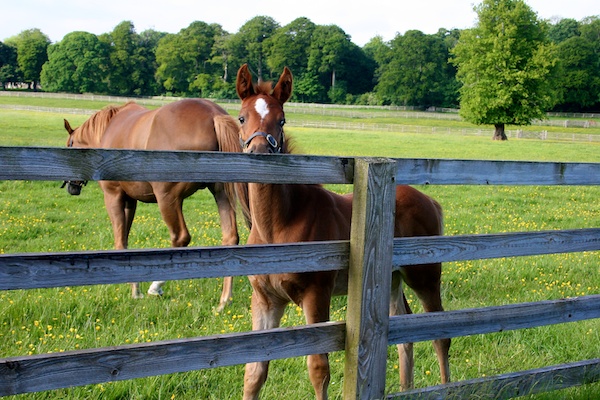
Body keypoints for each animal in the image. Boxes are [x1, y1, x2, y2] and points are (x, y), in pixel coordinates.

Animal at [65, 98, 241, 308]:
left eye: (69, 146)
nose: (71, 186)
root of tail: (213, 114)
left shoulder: (114, 195)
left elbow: (120, 242)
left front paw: (135, 291)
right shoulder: (130, 201)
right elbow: (125, 240)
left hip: (167, 199)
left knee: (180, 237)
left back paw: (156, 286)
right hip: (222, 194)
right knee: (230, 238)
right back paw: (224, 301)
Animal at [234, 64, 450, 398]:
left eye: (281, 119)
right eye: (242, 117)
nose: (259, 151)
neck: (279, 226)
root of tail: (429, 200)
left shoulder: (316, 294)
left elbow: (318, 368)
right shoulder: (266, 300)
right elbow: (254, 372)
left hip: (424, 275)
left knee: (440, 333)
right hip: (391, 279)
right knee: (403, 329)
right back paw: (405, 387)